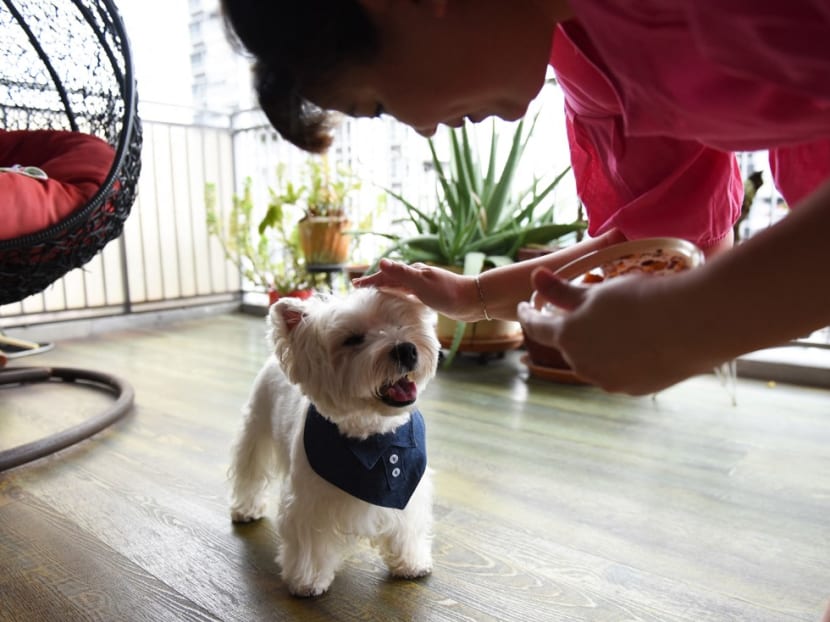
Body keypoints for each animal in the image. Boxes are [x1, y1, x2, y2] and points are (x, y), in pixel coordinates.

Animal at [228, 288, 442, 600]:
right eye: (352, 339)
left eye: (401, 322)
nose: (406, 349)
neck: (374, 437)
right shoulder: (309, 502)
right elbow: (309, 540)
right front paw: (307, 580)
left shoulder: (407, 490)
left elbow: (407, 527)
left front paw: (411, 563)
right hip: (257, 425)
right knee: (250, 470)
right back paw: (245, 509)